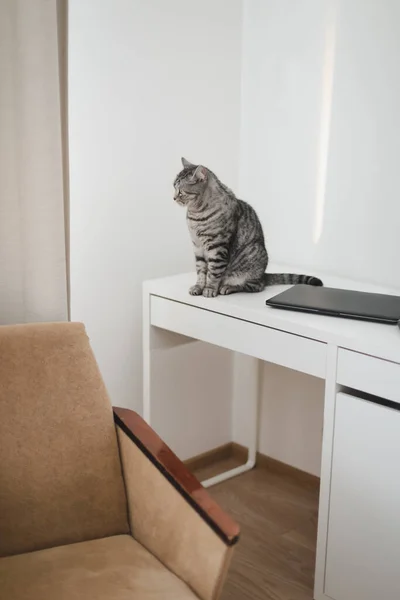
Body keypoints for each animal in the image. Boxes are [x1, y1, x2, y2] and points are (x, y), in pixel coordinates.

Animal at [173, 159, 324, 298]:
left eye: (180, 191)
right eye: (173, 187)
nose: (173, 198)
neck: (195, 214)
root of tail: (264, 275)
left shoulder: (217, 247)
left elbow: (213, 272)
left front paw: (209, 289)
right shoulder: (197, 246)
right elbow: (201, 270)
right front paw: (198, 287)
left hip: (252, 255)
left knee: (256, 286)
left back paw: (227, 287)